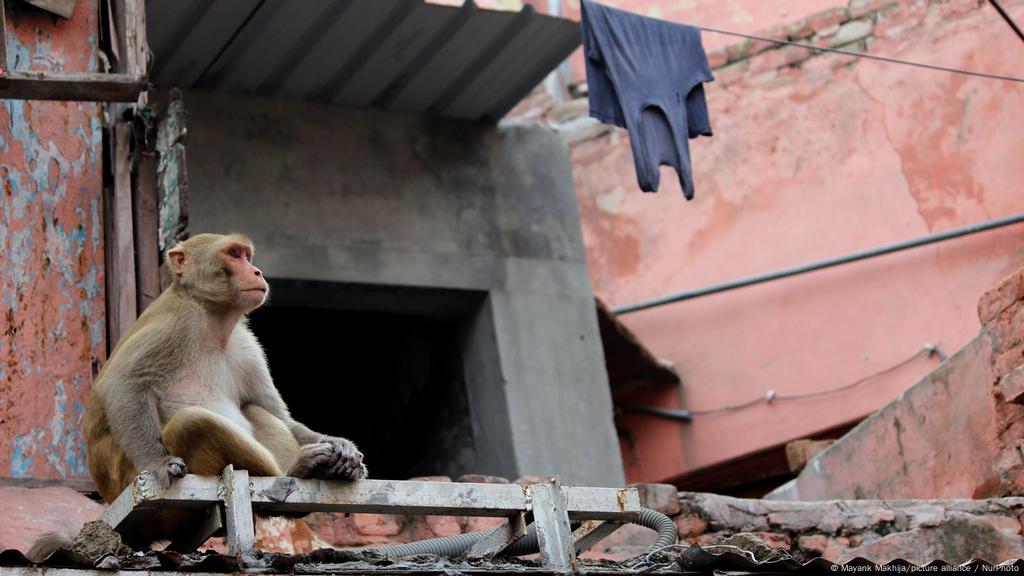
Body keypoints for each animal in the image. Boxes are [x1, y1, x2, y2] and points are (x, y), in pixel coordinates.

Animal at [27, 231, 368, 557]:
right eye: (233, 254)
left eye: (247, 256)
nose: (256, 271)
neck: (213, 320)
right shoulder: (179, 321)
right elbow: (124, 385)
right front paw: (158, 463)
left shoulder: (247, 347)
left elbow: (276, 412)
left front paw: (339, 444)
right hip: (159, 510)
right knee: (190, 423)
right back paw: (299, 468)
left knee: (253, 410)